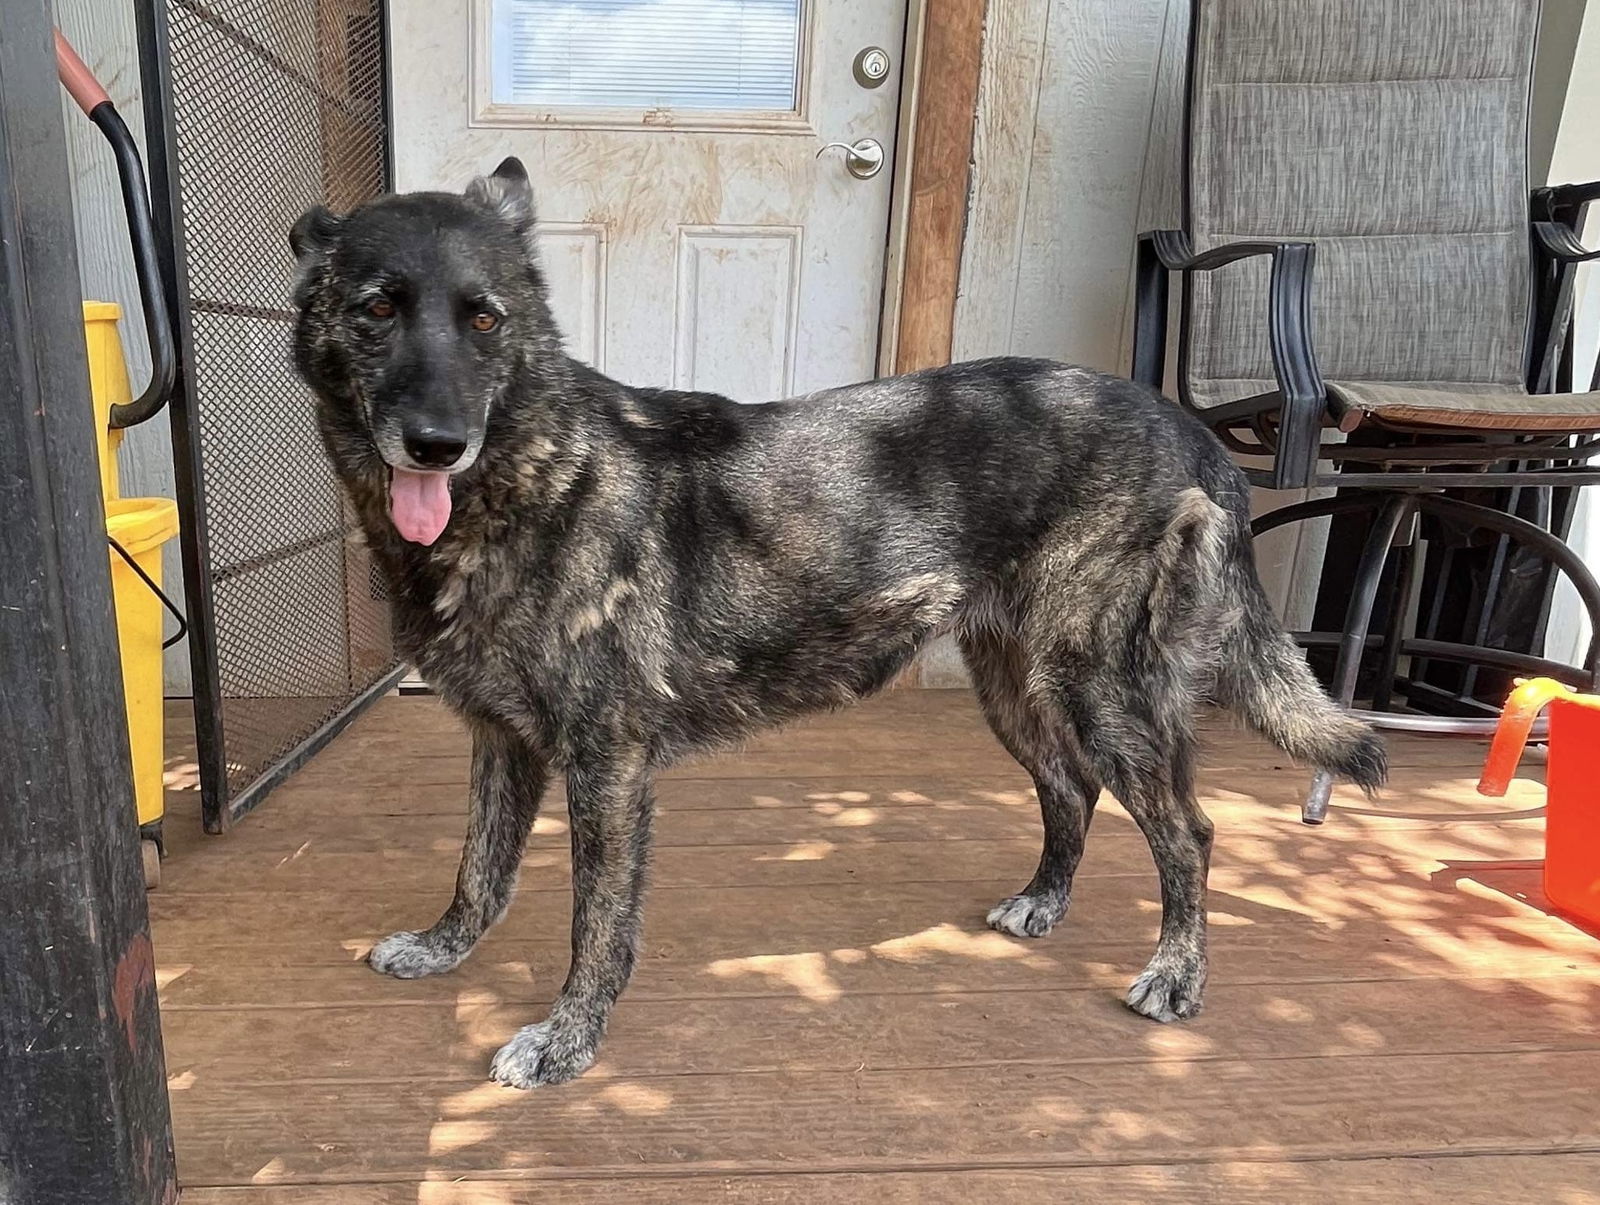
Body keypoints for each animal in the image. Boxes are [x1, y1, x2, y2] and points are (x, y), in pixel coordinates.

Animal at [291, 155, 1388, 1088]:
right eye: (379, 308)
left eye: (484, 320)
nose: (436, 444)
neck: (532, 479)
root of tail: (1185, 425)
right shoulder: (503, 742)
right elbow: (479, 871)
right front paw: (443, 947)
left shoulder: (606, 764)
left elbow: (593, 924)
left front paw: (567, 1043)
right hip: (1015, 685)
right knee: (1069, 789)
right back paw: (1044, 898)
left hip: (1104, 690)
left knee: (1187, 830)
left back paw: (1176, 974)